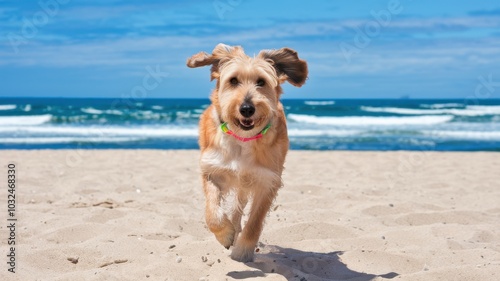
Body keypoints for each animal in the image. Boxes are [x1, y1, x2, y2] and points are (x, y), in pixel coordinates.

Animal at [186, 42, 306, 262]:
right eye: (233, 80)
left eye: (261, 82)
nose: (247, 108)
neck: (243, 139)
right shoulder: (212, 169)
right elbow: (212, 213)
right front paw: (225, 234)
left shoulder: (267, 181)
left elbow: (255, 222)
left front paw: (242, 252)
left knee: (238, 208)